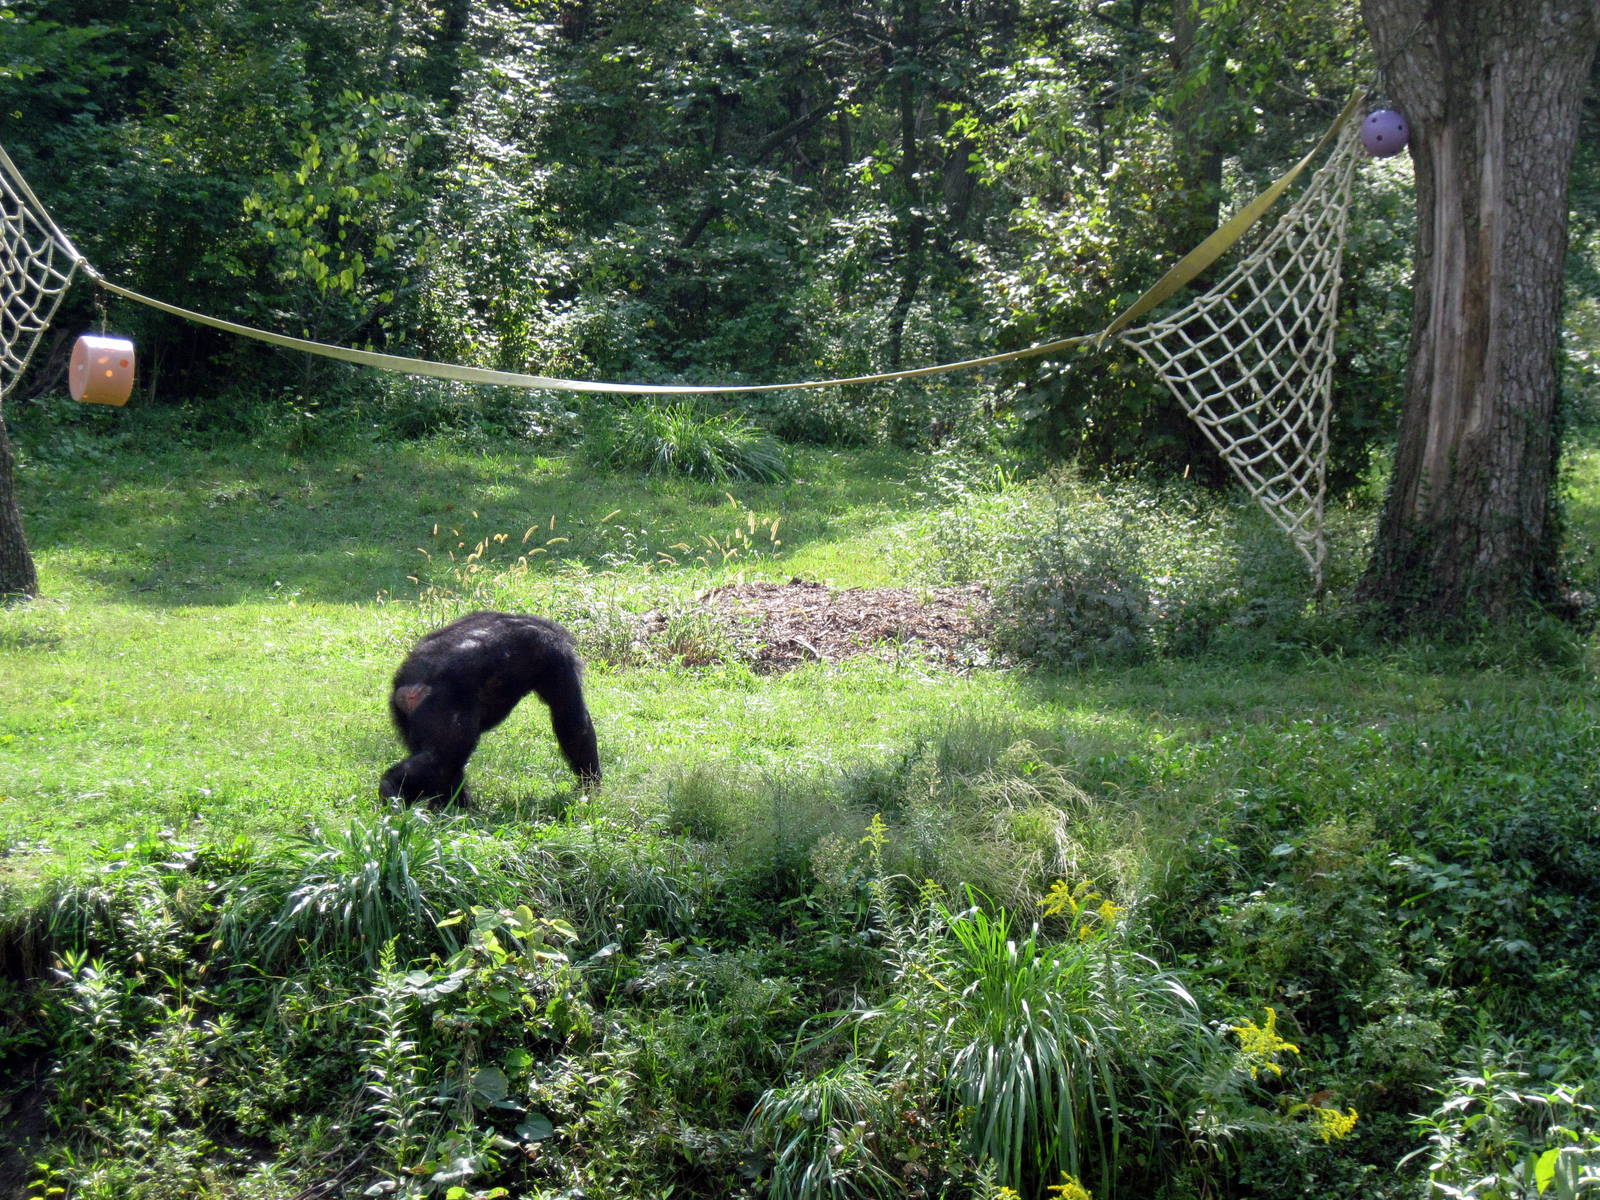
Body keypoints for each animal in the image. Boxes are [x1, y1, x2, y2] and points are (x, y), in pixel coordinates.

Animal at [380, 611, 600, 804]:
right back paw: (393, 787)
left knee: (443, 763)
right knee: (444, 758)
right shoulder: (556, 656)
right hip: (442, 708)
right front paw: (591, 787)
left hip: (404, 714)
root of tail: (409, 687)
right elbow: (572, 720)